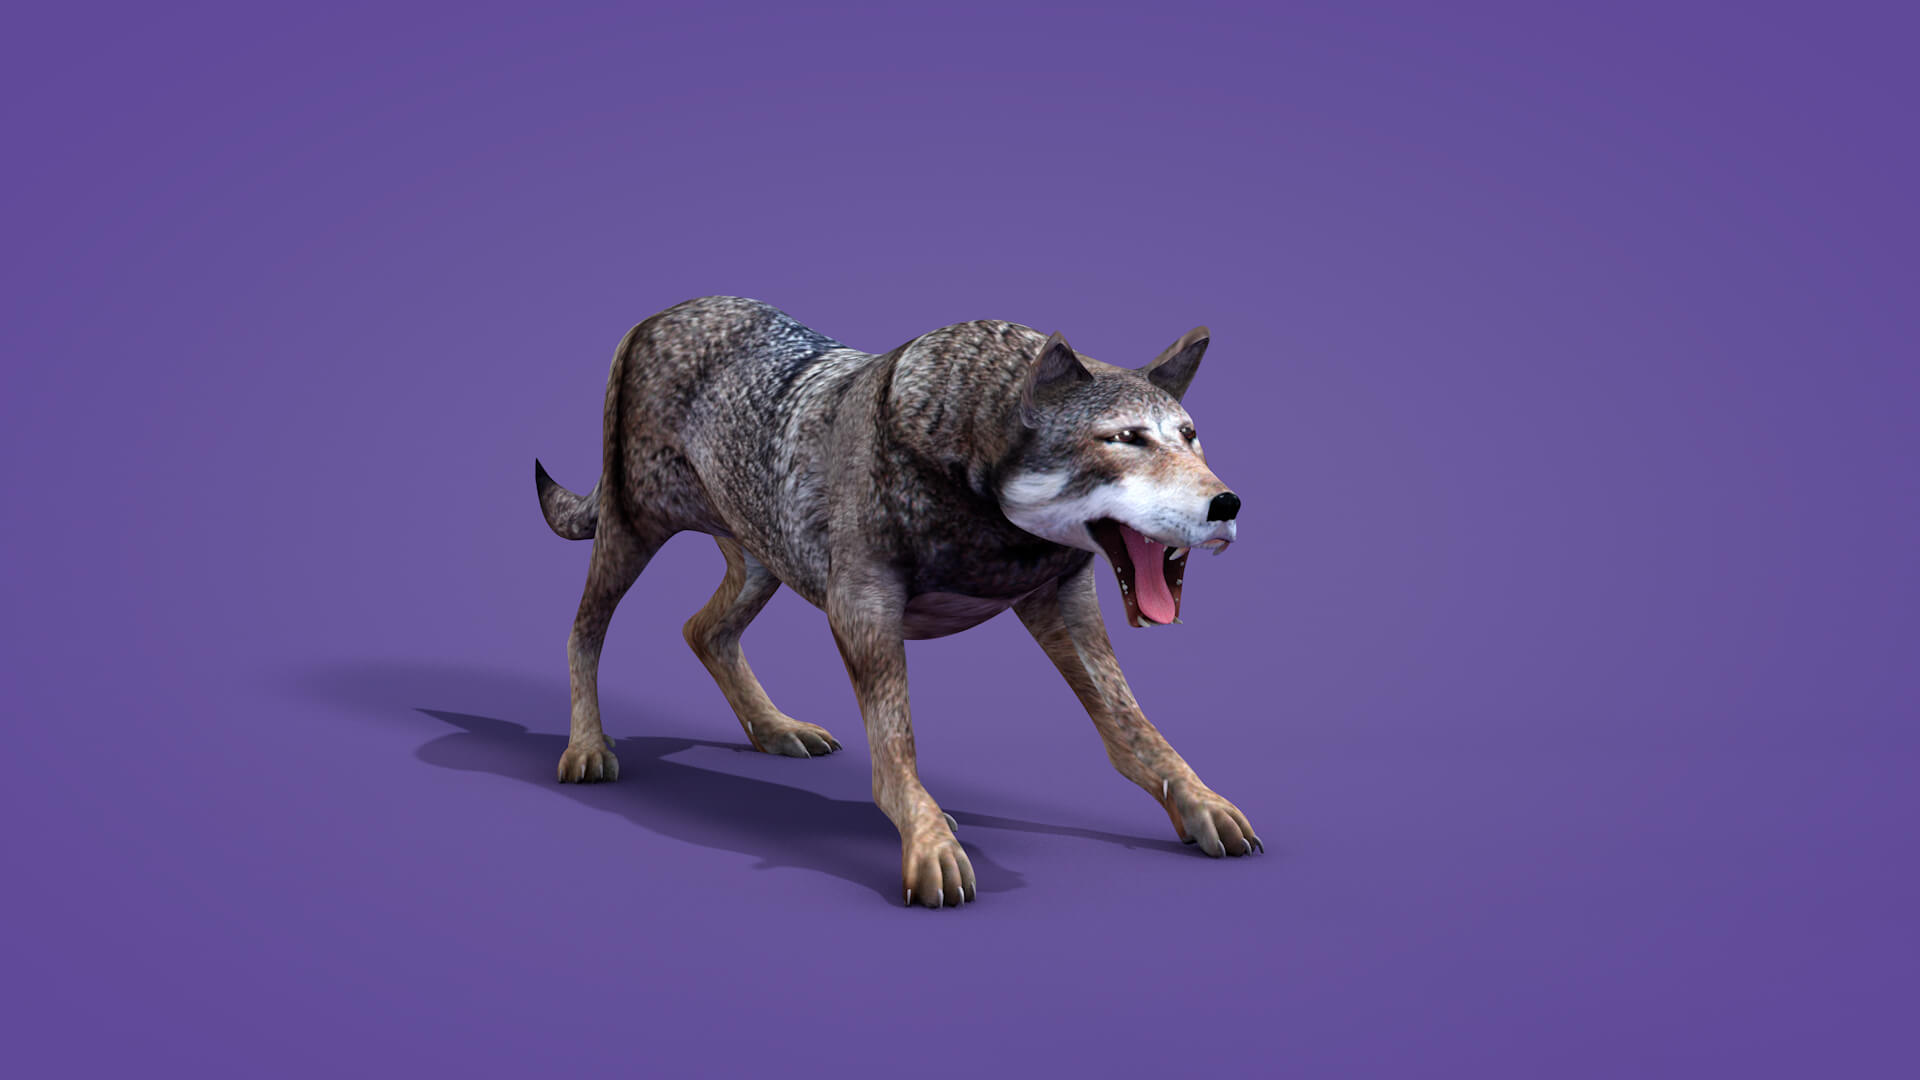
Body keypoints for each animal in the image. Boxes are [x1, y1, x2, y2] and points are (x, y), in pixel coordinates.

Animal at [534, 296, 1260, 908]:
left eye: (1189, 435)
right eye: (1126, 438)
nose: (1227, 504)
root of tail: (652, 318)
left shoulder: (1061, 600)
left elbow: (1134, 728)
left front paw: (1199, 801)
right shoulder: (862, 608)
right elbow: (896, 747)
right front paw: (930, 839)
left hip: (766, 558)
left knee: (701, 630)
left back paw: (775, 728)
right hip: (633, 533)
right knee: (584, 630)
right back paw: (586, 748)